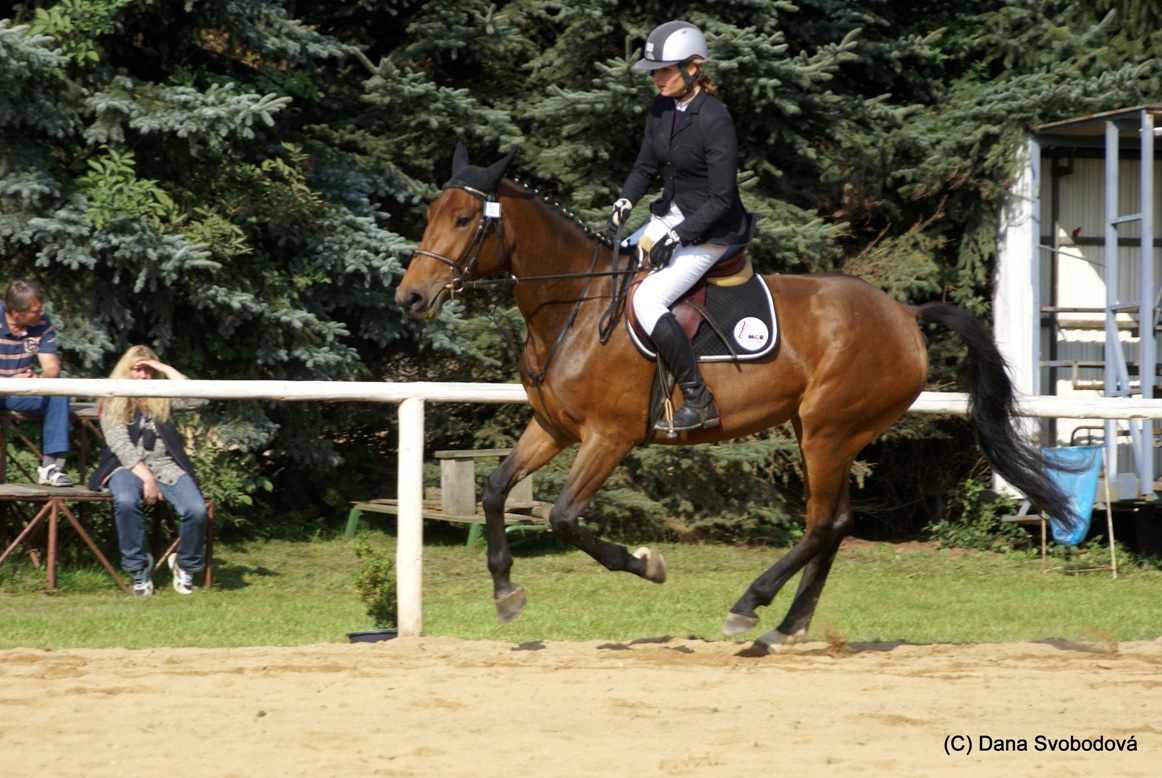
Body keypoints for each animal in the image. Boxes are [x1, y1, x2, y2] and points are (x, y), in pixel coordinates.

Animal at [395, 143, 1073, 654]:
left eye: (463, 221)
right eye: (429, 213)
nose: (410, 298)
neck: (575, 307)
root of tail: (905, 314)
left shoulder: (608, 437)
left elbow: (563, 518)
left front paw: (648, 564)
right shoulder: (554, 429)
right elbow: (493, 490)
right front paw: (506, 593)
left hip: (828, 430)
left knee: (821, 524)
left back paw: (750, 606)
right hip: (822, 432)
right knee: (835, 525)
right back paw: (785, 628)